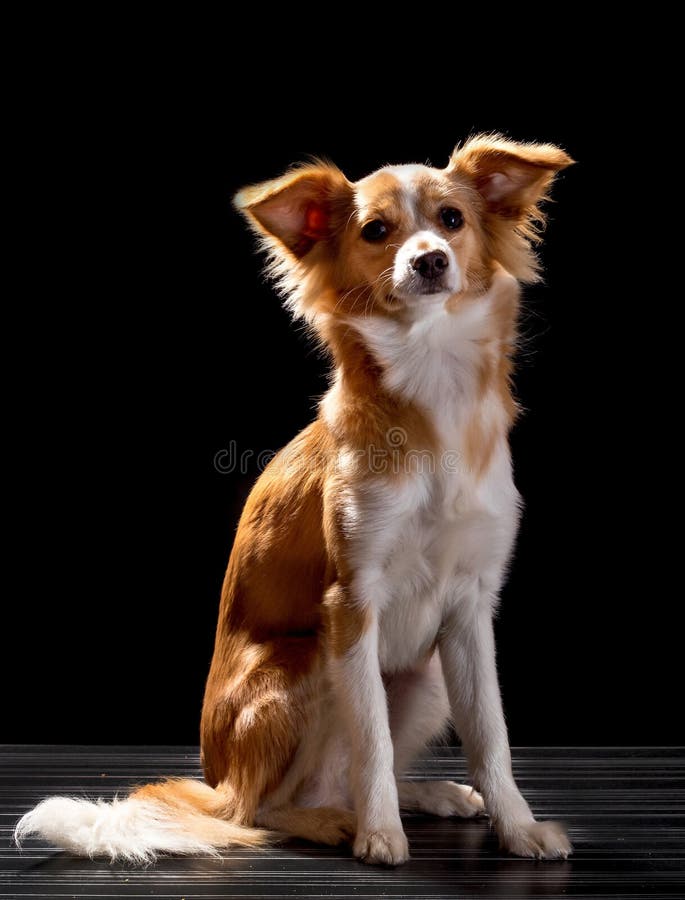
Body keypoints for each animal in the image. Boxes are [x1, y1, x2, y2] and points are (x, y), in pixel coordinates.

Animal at [16, 134, 572, 864]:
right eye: (376, 231)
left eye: (451, 219)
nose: (428, 259)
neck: (432, 379)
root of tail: (218, 779)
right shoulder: (351, 603)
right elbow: (371, 740)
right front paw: (379, 836)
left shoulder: (470, 611)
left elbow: (491, 734)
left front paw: (516, 826)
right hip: (303, 661)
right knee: (262, 810)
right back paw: (337, 821)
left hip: (424, 679)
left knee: (339, 777)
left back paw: (424, 795)